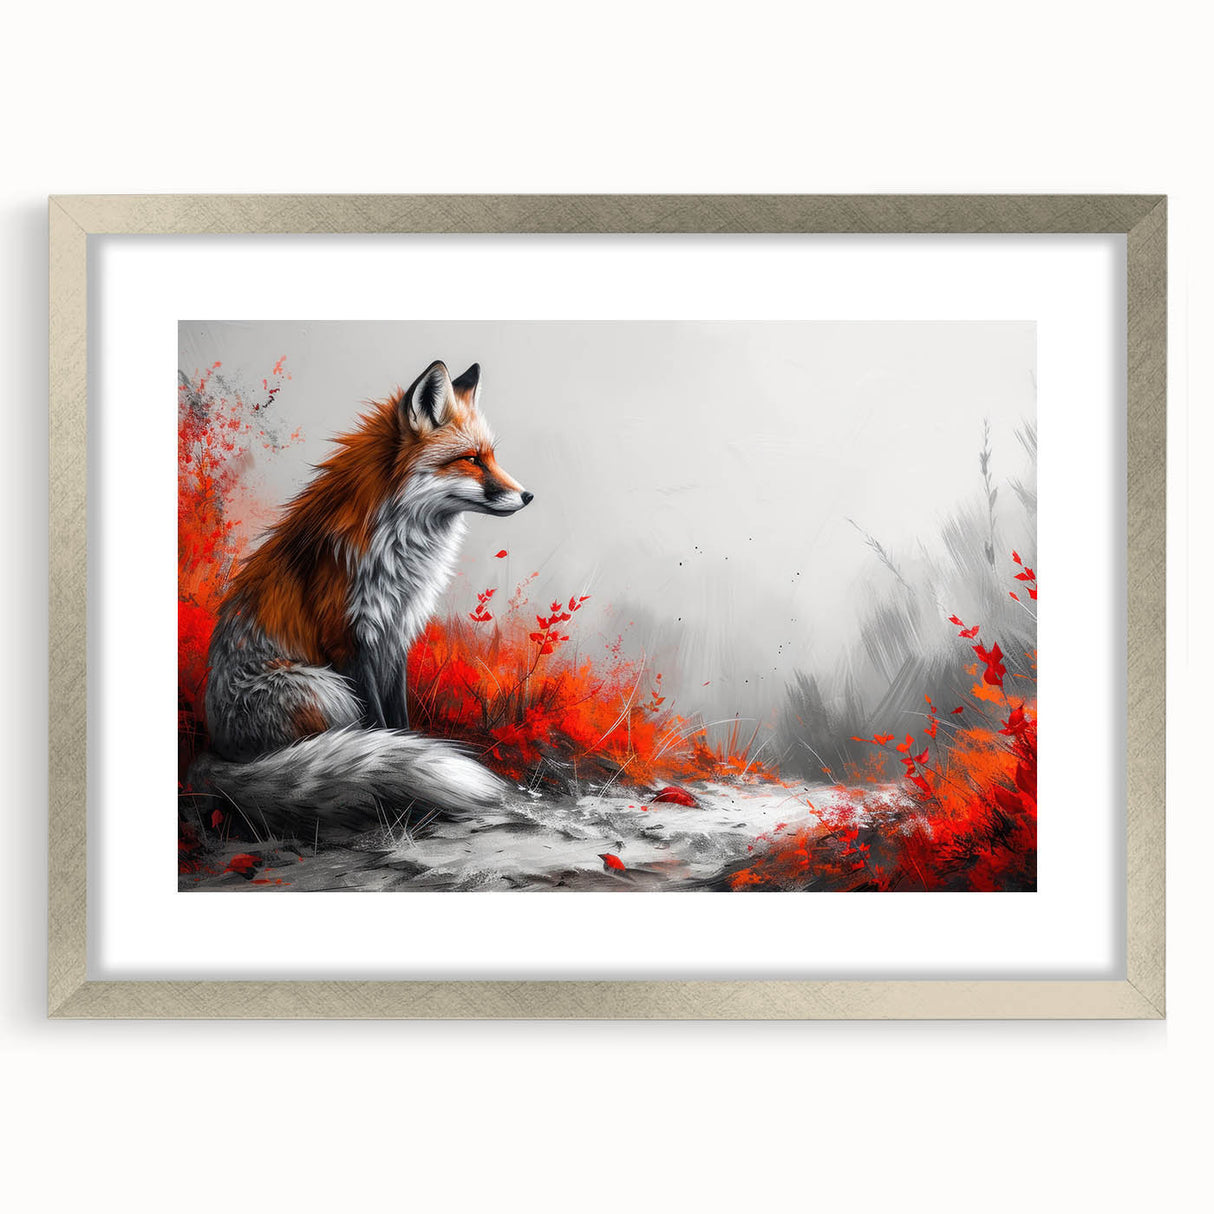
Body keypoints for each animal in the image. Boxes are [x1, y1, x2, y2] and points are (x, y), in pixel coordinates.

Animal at [191, 360, 533, 831]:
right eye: (471, 460)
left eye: (492, 457)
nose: (528, 495)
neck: (400, 550)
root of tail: (215, 752)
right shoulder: (349, 638)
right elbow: (378, 723)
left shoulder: (396, 632)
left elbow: (399, 722)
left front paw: (413, 754)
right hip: (325, 688)